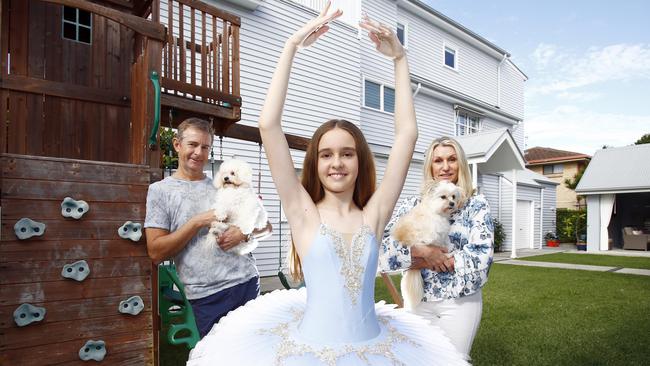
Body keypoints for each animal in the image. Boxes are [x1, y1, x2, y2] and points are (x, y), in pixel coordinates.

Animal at [390, 179, 460, 308]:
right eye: (443, 197)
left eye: (453, 197)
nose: (452, 203)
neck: (434, 210)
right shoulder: (438, 230)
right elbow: (444, 240)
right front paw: (448, 249)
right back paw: (449, 254)